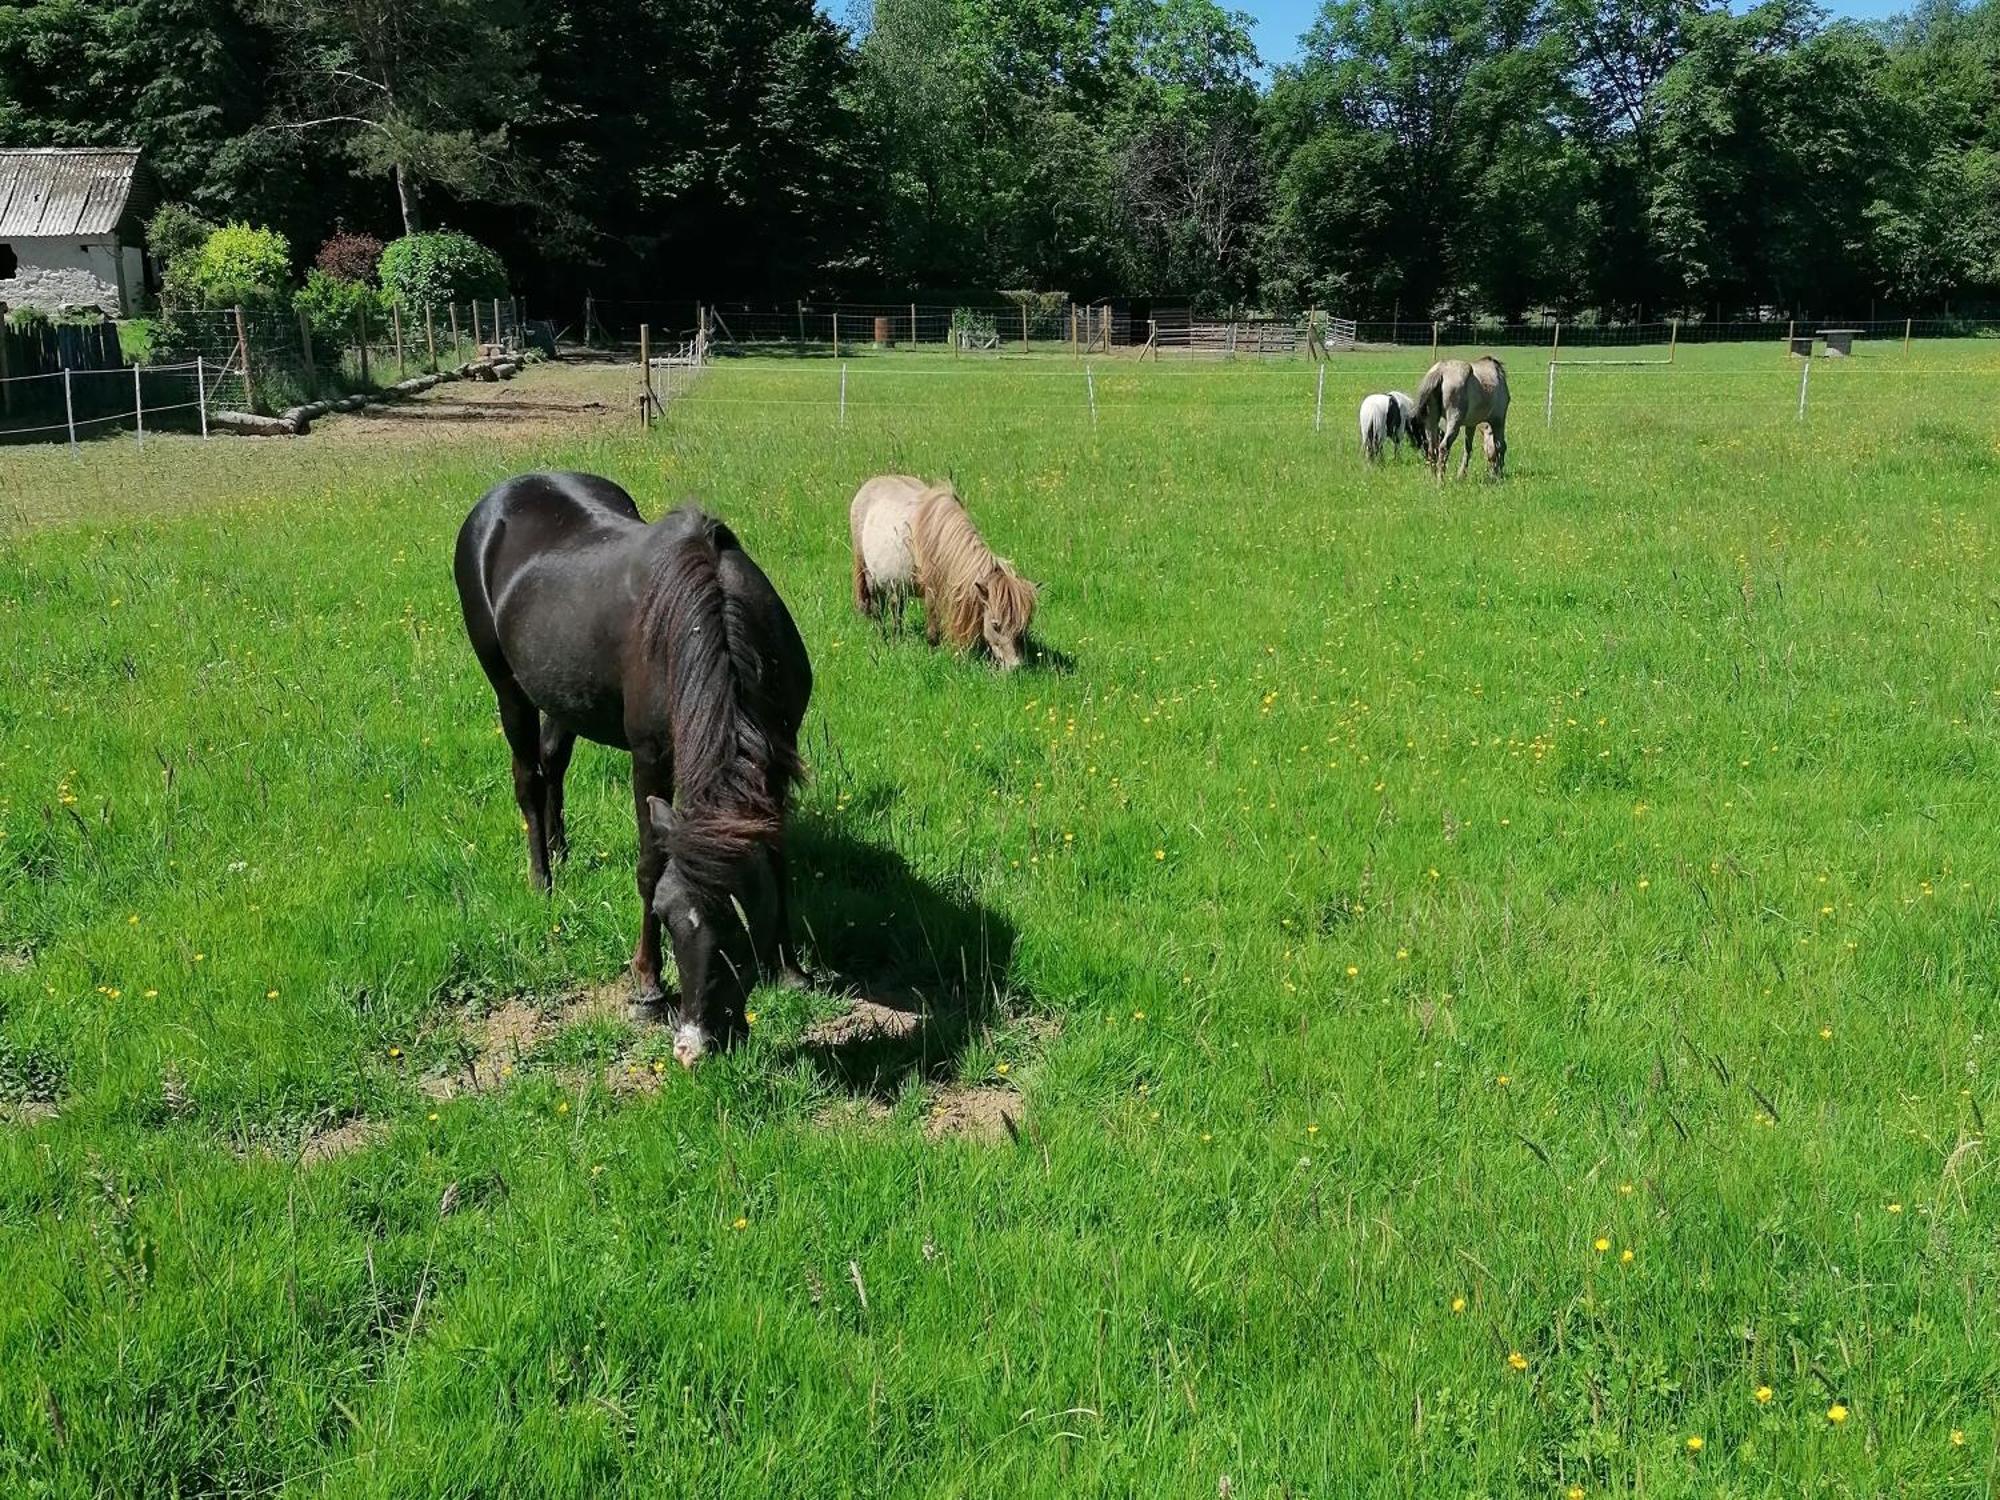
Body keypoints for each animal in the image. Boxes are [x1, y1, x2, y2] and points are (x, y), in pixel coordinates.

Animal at [456, 470, 812, 1072]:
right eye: (666, 918)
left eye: (739, 924)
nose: (695, 1044)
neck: (714, 620)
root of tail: (501, 497)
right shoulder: (650, 758)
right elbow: (650, 863)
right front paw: (646, 986)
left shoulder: (779, 751)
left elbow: (777, 851)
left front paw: (788, 967)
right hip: (508, 688)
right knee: (528, 778)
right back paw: (542, 878)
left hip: (563, 692)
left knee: (553, 764)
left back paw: (562, 850)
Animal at [848, 478, 1040, 672]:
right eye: (995, 624)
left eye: (1023, 625)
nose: (1015, 667)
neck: (940, 542)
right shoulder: (931, 591)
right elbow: (933, 625)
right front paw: (933, 652)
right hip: (869, 575)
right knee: (877, 608)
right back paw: (883, 637)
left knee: (896, 609)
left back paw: (897, 636)